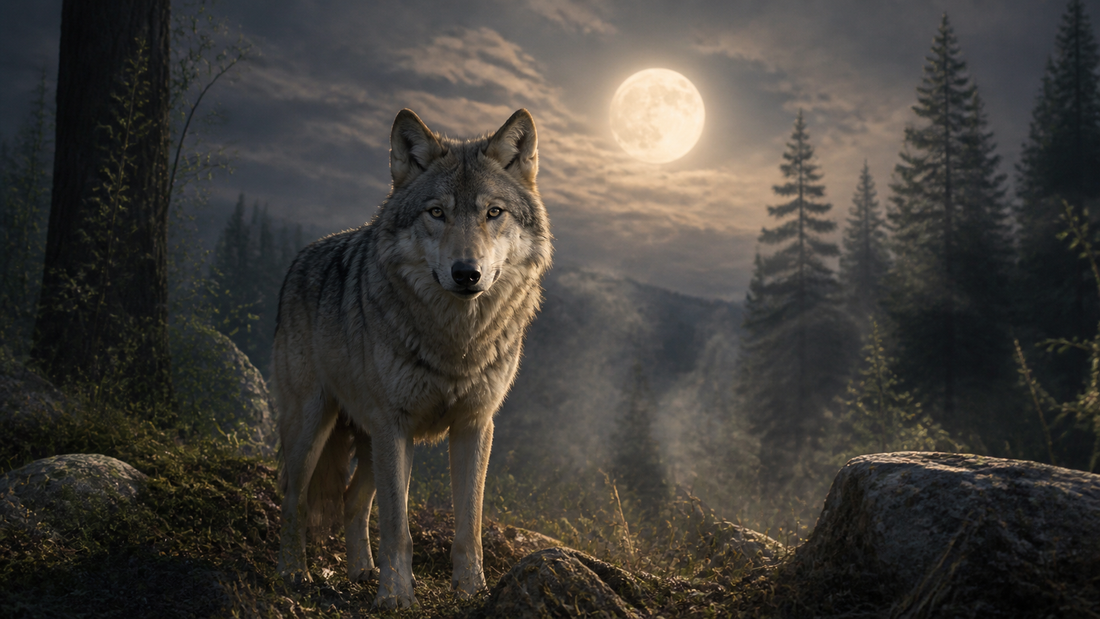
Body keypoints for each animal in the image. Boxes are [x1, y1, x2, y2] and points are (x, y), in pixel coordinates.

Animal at [272, 108, 552, 609]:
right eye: (436, 212)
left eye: (493, 212)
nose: (467, 273)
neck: (457, 341)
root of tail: (301, 257)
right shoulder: (394, 425)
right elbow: (398, 528)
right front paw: (396, 597)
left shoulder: (475, 425)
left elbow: (469, 526)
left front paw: (472, 590)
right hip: (314, 425)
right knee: (294, 496)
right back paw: (294, 571)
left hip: (370, 441)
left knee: (352, 500)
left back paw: (361, 570)